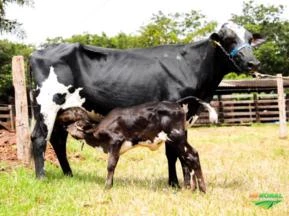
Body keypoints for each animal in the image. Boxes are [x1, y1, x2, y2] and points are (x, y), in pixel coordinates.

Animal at [56, 98, 216, 192]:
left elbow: (111, 165)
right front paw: (111, 185)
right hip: (177, 140)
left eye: (76, 123)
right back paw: (192, 189)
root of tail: (175, 104)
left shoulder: (116, 141)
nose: (65, 127)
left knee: (192, 155)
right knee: (187, 158)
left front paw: (107, 187)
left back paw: (202, 189)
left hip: (176, 137)